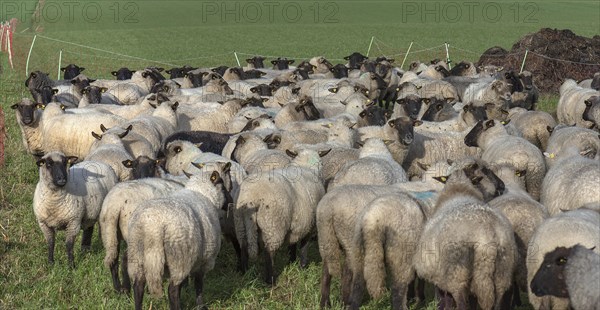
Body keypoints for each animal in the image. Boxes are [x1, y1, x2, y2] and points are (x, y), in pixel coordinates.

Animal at [126, 170, 227, 310]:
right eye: (223, 186)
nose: (229, 203)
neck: (202, 193)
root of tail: (153, 227)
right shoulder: (204, 260)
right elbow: (198, 284)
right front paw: (201, 305)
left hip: (136, 256)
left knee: (138, 287)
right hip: (179, 259)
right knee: (172, 290)